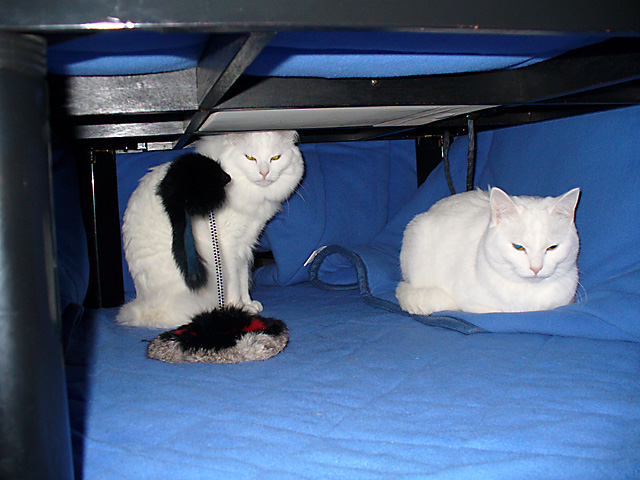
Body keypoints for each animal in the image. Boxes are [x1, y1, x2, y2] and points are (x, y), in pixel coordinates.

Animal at [117, 130, 304, 328]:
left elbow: (243, 278)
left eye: (275, 158)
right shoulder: (228, 246)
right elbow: (234, 282)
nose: (264, 173)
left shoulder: (244, 245)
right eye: (250, 158)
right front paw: (238, 308)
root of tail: (148, 307)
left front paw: (248, 303)